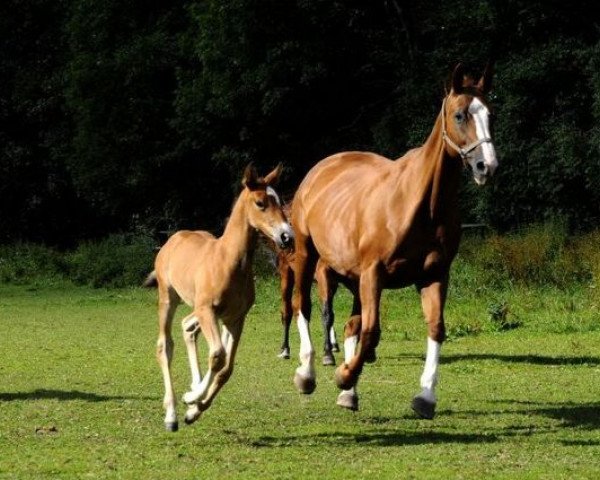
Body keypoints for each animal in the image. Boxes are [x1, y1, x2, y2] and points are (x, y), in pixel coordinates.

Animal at [149, 164, 292, 432]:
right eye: (260, 203)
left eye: (279, 201)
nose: (287, 236)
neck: (228, 261)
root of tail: (172, 239)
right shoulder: (208, 310)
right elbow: (217, 355)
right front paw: (191, 399)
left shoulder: (236, 318)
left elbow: (226, 368)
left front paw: (194, 410)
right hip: (168, 298)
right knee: (165, 346)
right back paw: (171, 414)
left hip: (201, 310)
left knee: (187, 326)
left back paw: (193, 388)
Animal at [290, 62, 496, 416]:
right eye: (459, 115)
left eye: (490, 115)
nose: (487, 165)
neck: (421, 204)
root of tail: (321, 168)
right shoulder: (374, 273)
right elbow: (372, 332)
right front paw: (344, 375)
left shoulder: (433, 275)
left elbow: (435, 328)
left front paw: (425, 396)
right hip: (308, 256)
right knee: (302, 306)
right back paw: (307, 373)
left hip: (353, 277)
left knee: (351, 325)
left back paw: (349, 394)